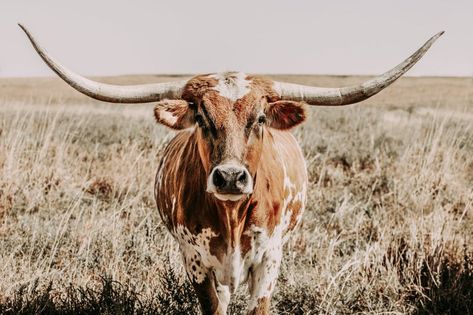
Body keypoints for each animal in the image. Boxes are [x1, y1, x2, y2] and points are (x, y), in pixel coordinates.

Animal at [20, 25, 440, 315]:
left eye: (260, 119)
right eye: (202, 118)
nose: (230, 177)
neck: (232, 215)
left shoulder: (269, 260)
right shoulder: (195, 261)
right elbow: (214, 307)